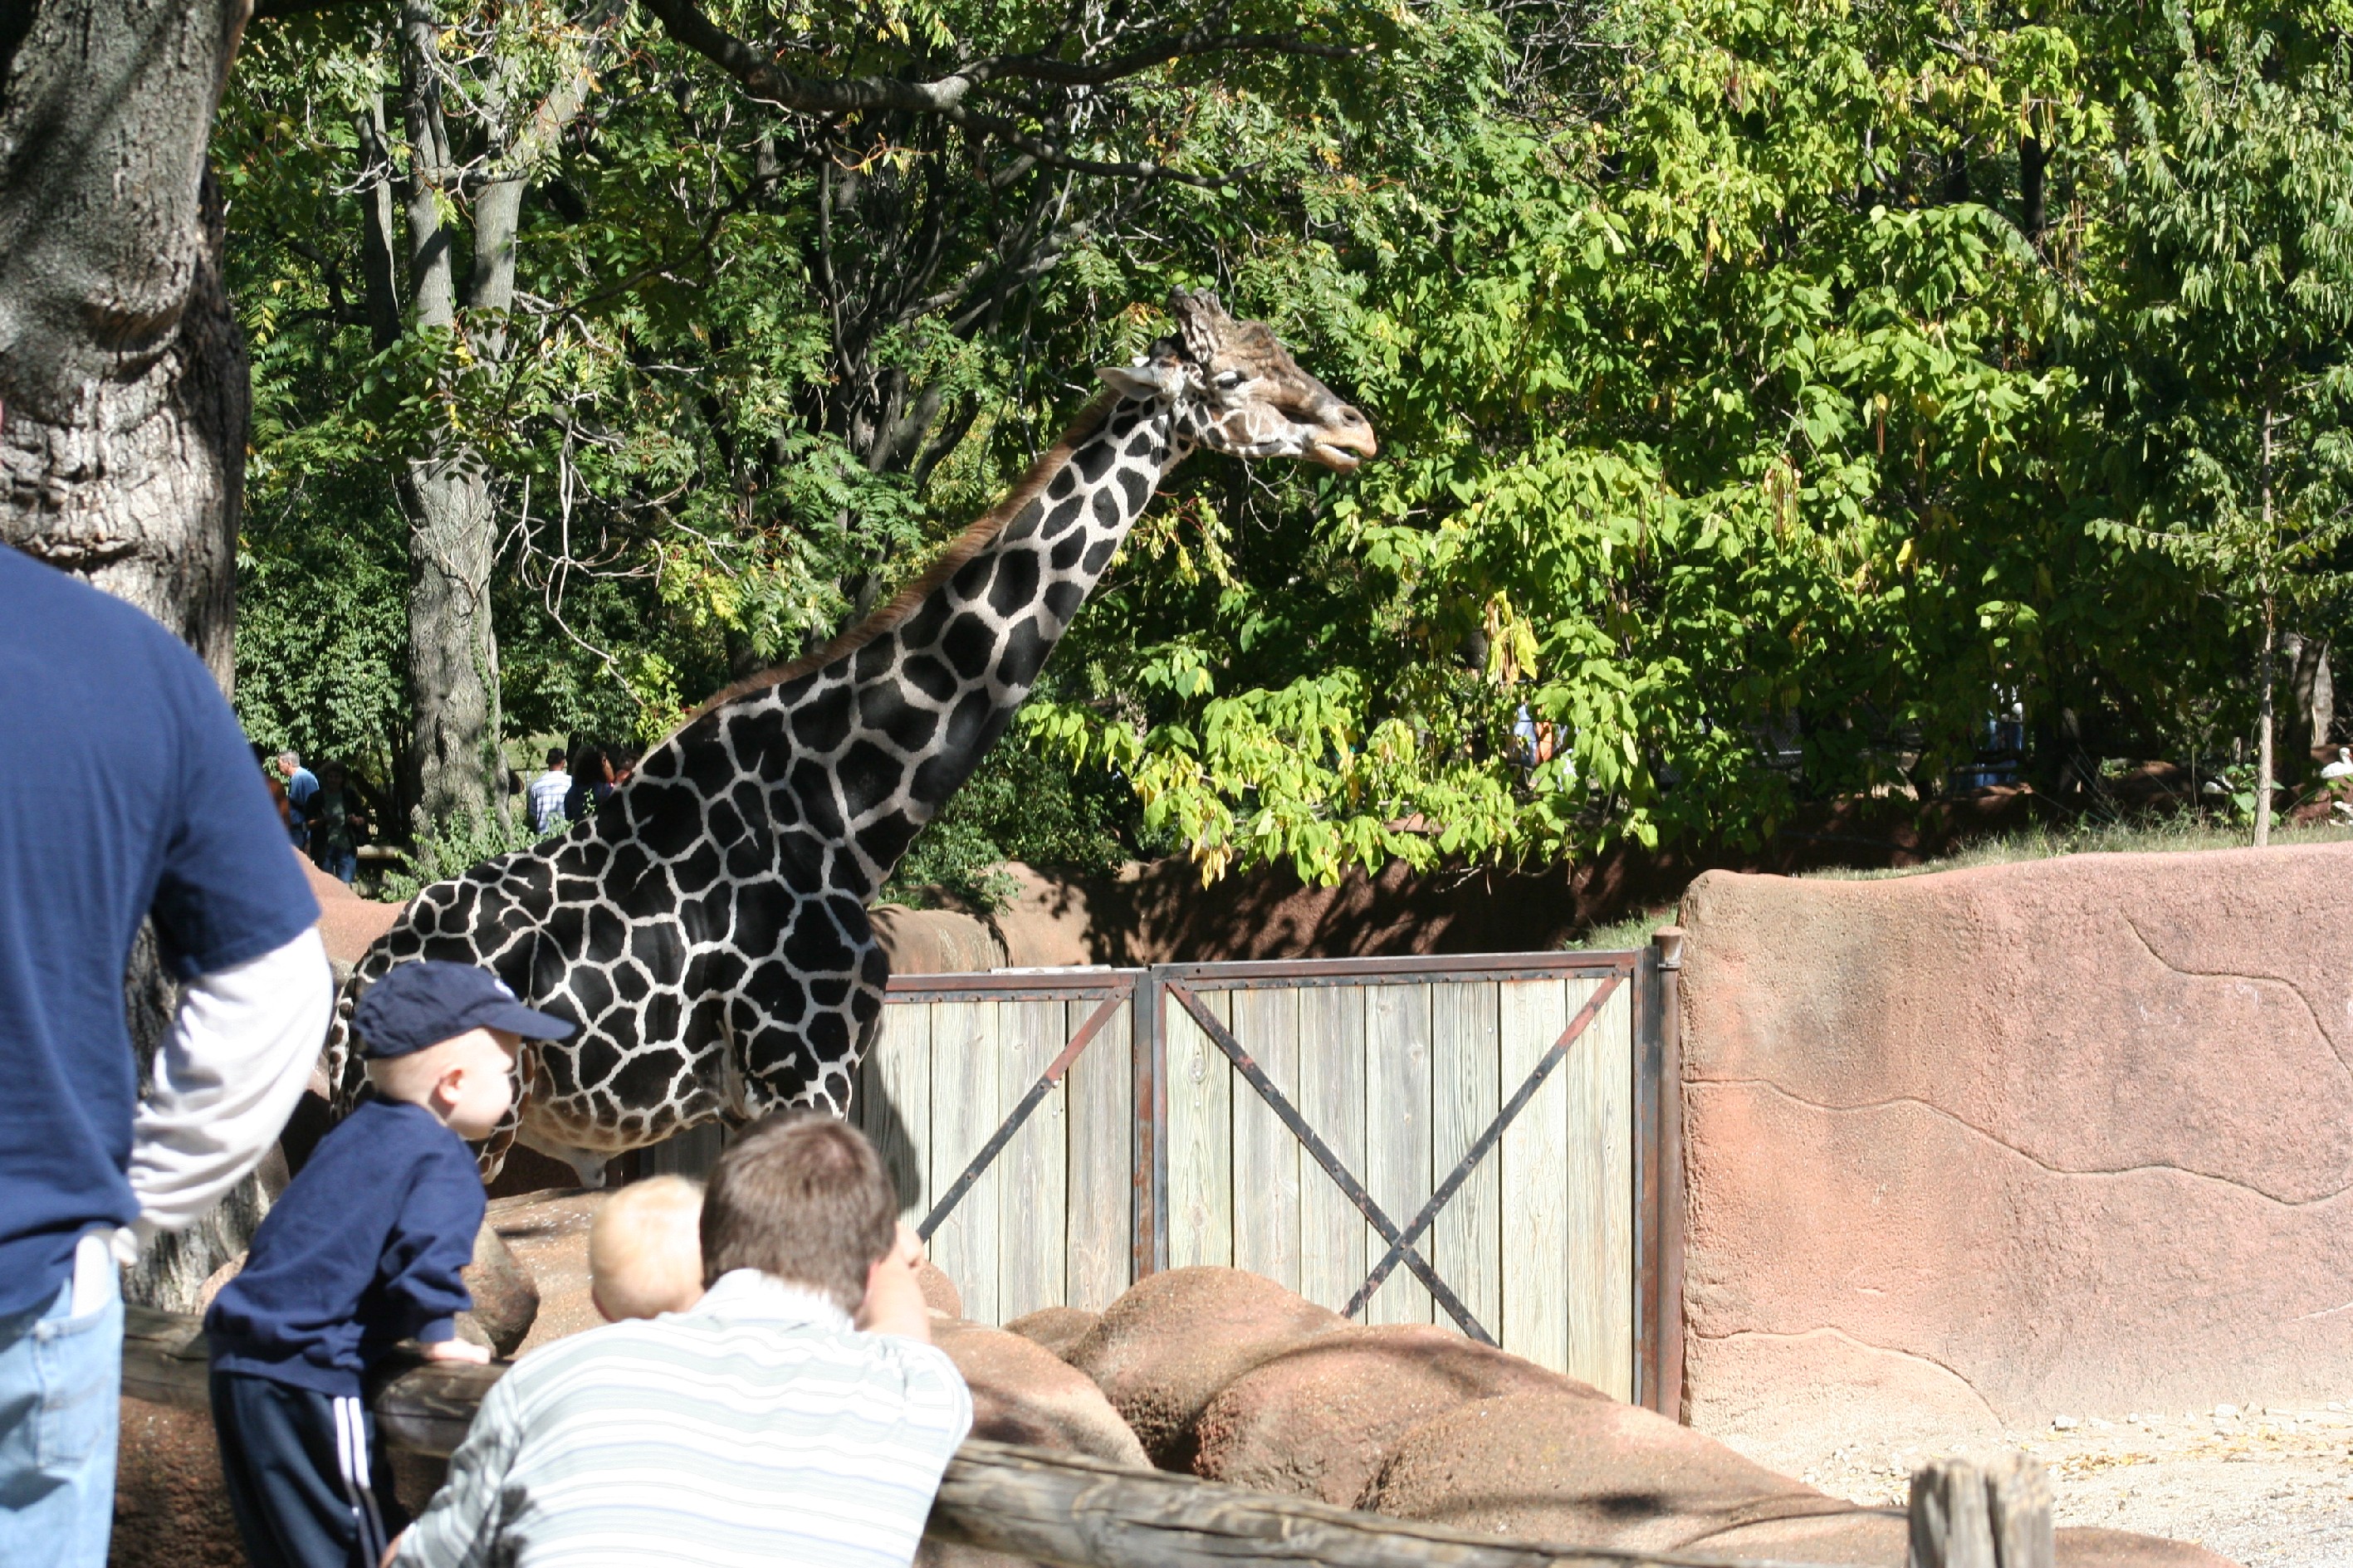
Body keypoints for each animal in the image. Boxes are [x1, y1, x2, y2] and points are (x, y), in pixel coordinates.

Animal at [324, 289, 1376, 1182]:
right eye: (1228, 377)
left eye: (1281, 352)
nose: (1354, 430)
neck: (844, 815)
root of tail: (353, 990)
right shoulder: (805, 1066)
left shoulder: (757, 1095)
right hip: (464, 1122)